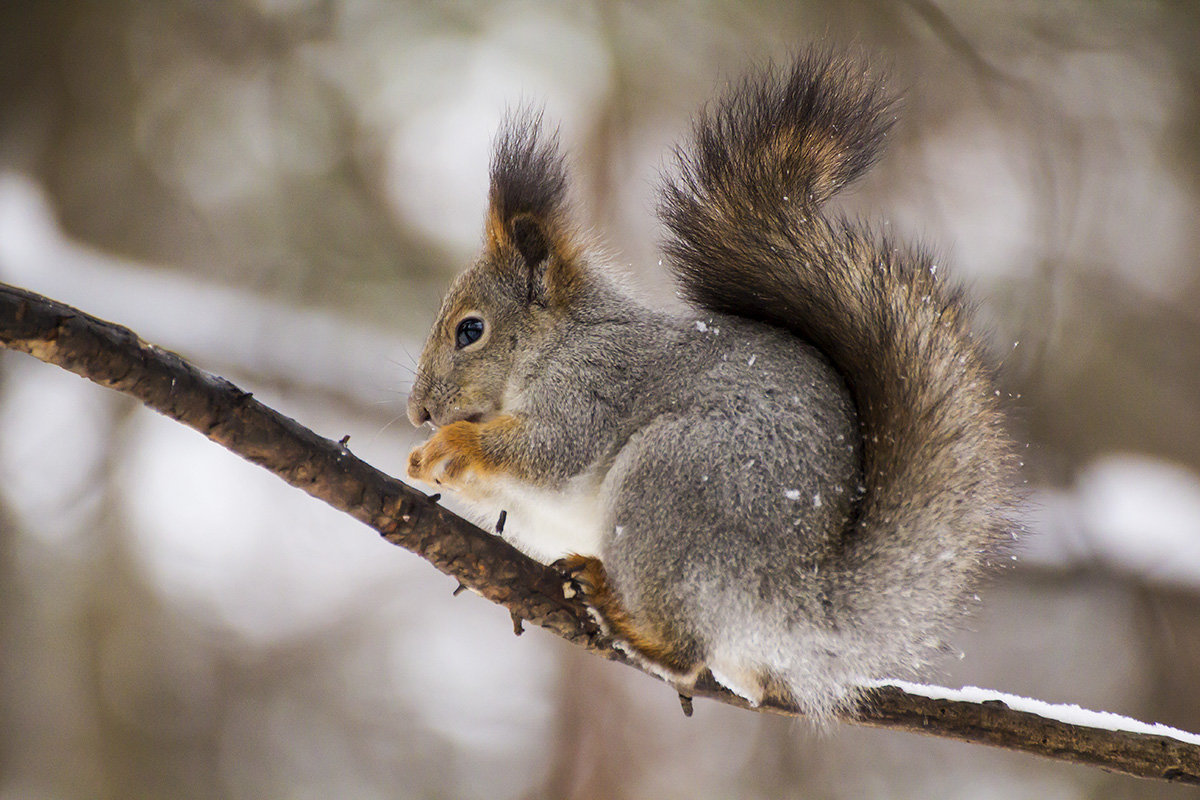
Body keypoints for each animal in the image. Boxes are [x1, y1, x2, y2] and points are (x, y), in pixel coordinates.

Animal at [403, 51, 1012, 724]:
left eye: (471, 330)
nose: (418, 412)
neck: (558, 341)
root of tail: (794, 601)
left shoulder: (597, 384)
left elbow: (551, 451)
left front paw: (450, 448)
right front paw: (424, 462)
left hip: (673, 480)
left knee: (685, 651)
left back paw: (619, 612)